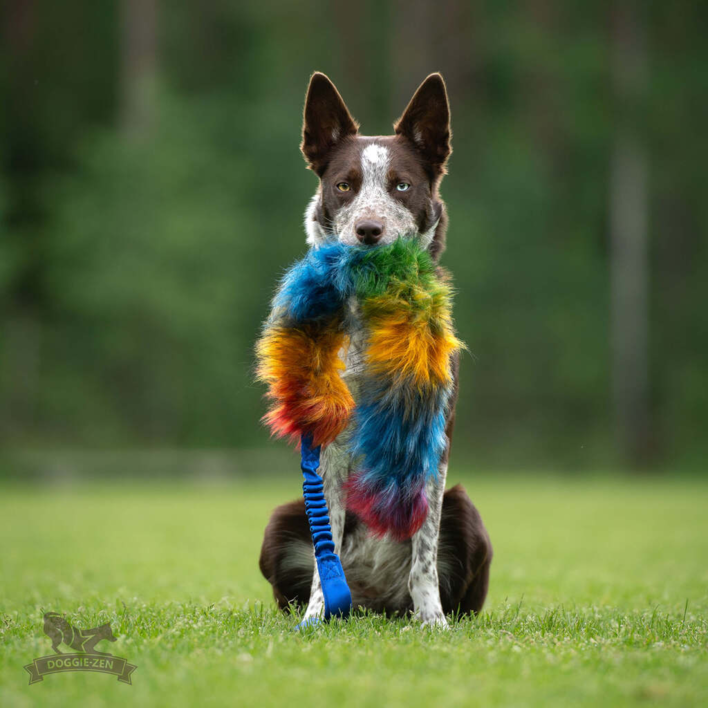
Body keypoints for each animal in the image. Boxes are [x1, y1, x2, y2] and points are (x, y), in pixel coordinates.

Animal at [260, 72, 492, 624]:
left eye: (401, 185)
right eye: (343, 185)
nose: (369, 231)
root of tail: (374, 603)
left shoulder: (433, 434)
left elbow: (424, 548)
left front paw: (432, 621)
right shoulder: (327, 438)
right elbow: (326, 543)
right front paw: (316, 617)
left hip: (467, 512)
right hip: (280, 520)